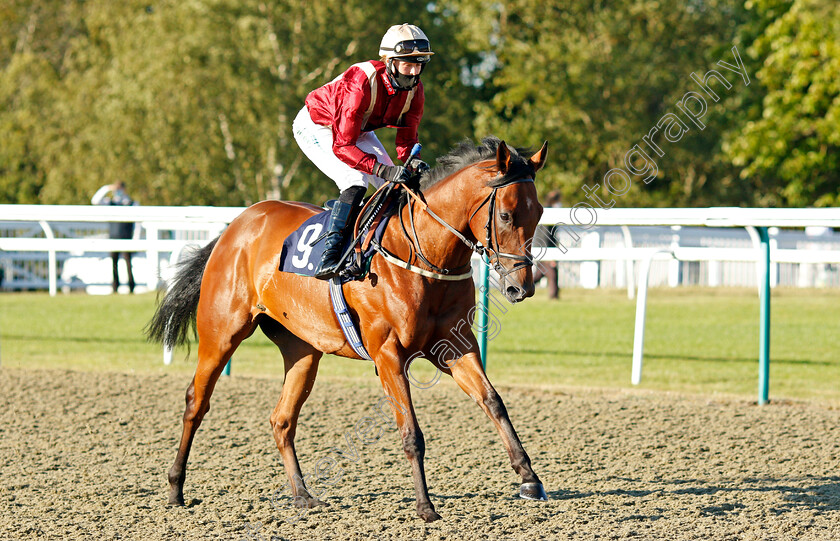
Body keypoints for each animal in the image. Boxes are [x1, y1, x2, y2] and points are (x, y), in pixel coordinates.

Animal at [147, 135, 548, 520]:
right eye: (507, 215)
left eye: (540, 212)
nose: (522, 287)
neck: (423, 253)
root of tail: (235, 227)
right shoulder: (388, 354)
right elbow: (411, 432)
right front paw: (425, 506)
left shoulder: (455, 345)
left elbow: (493, 402)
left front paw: (530, 480)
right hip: (222, 334)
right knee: (196, 403)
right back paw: (176, 488)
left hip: (302, 350)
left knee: (282, 419)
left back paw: (303, 496)